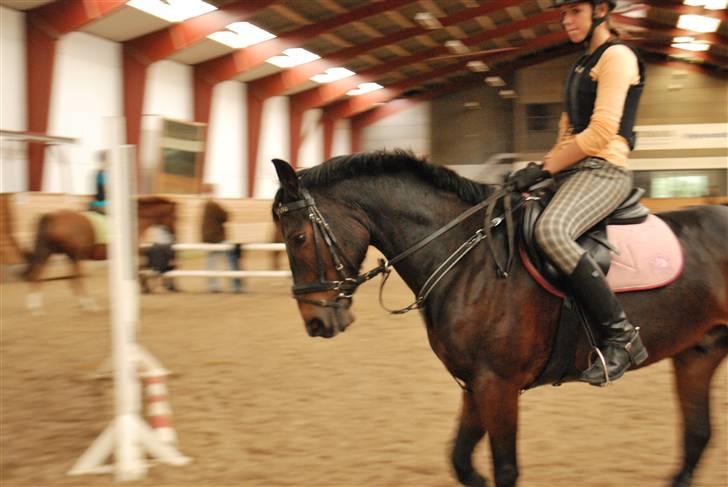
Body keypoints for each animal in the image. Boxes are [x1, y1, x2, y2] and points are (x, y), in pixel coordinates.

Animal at [22, 196, 177, 314]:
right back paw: (88, 305)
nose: (174, 234)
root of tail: (52, 216)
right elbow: (140, 268)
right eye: (176, 217)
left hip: (51, 253)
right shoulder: (132, 252)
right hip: (76, 256)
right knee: (75, 278)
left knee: (38, 274)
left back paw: (36, 307)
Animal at [270, 151, 728, 487]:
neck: (465, 258)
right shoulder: (475, 384)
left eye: (298, 237)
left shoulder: (498, 384)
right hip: (699, 352)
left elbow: (505, 469)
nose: (315, 322)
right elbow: (461, 461)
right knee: (697, 435)